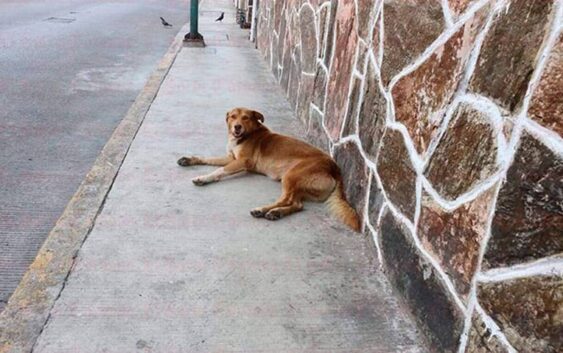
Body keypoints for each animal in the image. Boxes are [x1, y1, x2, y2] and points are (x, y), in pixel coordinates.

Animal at [176, 108, 362, 232]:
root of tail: (335, 168)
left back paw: (263, 210)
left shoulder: (242, 162)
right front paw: (189, 160)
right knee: (298, 204)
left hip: (291, 176)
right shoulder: (231, 158)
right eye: (233, 117)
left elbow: (219, 170)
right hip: (302, 187)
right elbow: (209, 158)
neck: (247, 135)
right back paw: (276, 213)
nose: (237, 127)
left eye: (245, 118)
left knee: (286, 199)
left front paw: (202, 178)